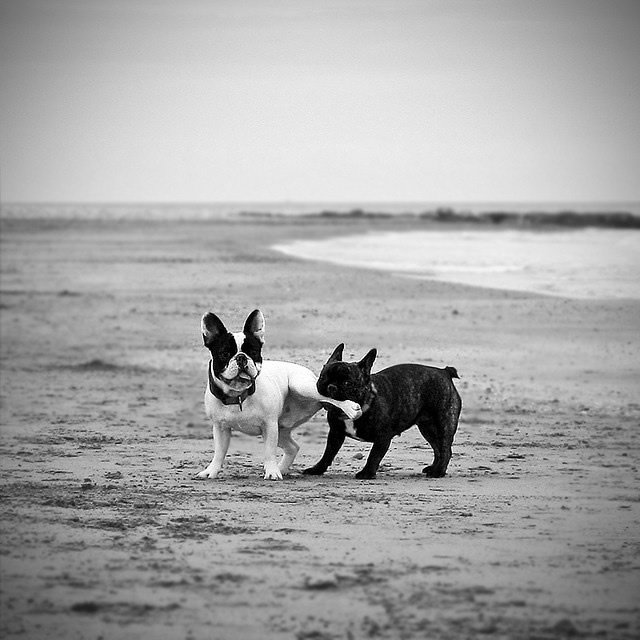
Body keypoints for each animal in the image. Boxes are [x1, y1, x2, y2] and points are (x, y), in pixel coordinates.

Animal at [302, 348, 462, 478]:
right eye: (322, 377)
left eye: (347, 383)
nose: (331, 387)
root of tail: (444, 372)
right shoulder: (336, 433)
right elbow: (328, 454)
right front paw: (317, 469)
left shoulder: (383, 437)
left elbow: (374, 456)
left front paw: (367, 473)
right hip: (427, 428)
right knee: (437, 448)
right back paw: (434, 468)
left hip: (443, 423)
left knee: (445, 449)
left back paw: (438, 471)